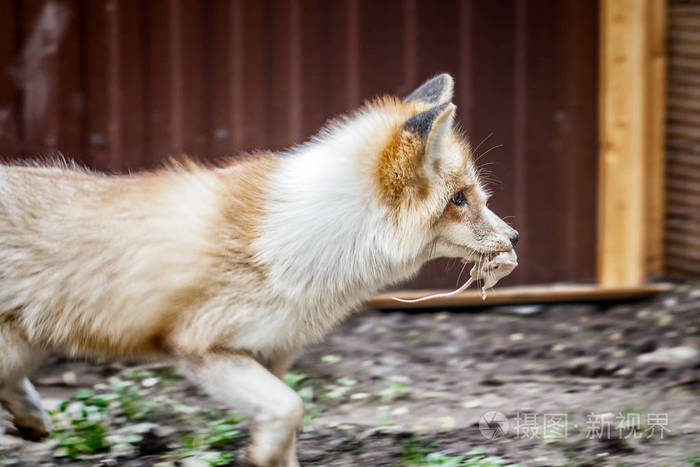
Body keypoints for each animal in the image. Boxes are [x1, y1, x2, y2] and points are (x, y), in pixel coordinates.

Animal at [0, 74, 516, 467]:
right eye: (459, 199)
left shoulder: (272, 354)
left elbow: (288, 429)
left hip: (28, 347)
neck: (303, 239)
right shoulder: (200, 344)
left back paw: (31, 420)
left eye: (475, 194)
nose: (513, 239)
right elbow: (290, 409)